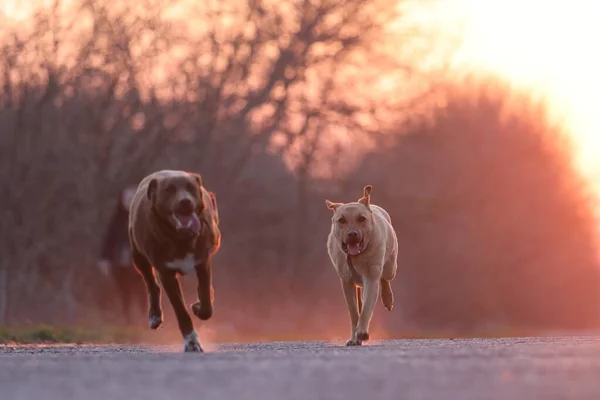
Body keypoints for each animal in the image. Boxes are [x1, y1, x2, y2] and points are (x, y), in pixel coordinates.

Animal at [128, 170, 220, 352]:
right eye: (169, 189)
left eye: (191, 187)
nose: (185, 202)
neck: (181, 238)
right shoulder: (166, 273)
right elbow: (181, 310)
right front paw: (191, 342)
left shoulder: (203, 263)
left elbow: (205, 297)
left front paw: (199, 307)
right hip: (138, 257)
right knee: (151, 284)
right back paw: (154, 315)